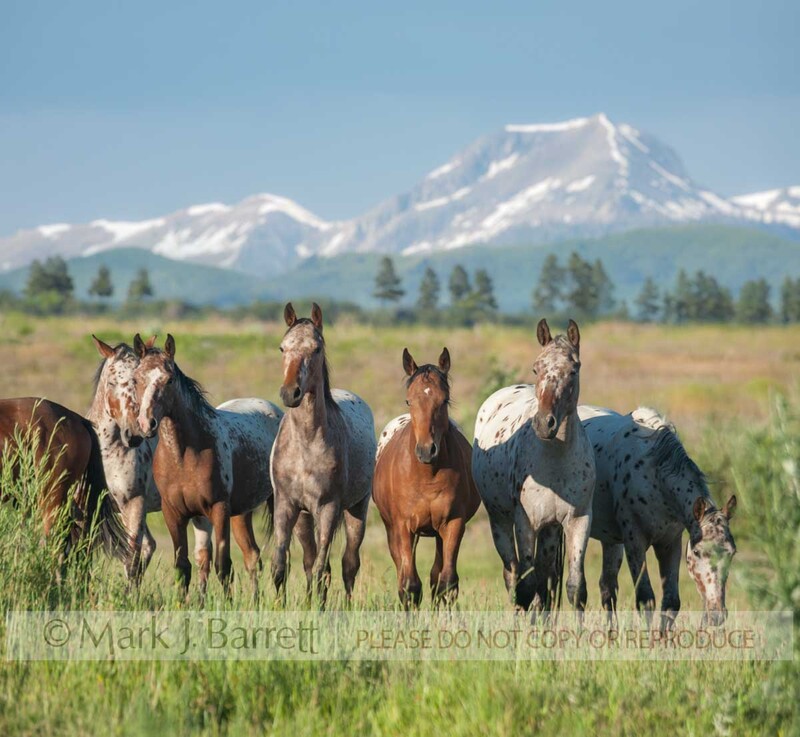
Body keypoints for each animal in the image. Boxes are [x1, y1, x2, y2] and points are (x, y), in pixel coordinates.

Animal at [132, 333, 283, 596]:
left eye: (169, 379)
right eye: (136, 378)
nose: (146, 423)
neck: (184, 458)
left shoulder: (218, 509)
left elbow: (223, 566)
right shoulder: (174, 514)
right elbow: (183, 567)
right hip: (241, 513)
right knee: (252, 556)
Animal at [270, 302, 376, 604]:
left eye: (316, 348)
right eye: (282, 348)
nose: (290, 393)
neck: (306, 445)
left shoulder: (328, 508)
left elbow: (321, 569)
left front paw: (316, 607)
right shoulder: (287, 505)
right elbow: (281, 566)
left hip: (356, 509)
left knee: (348, 564)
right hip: (305, 518)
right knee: (311, 560)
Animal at [373, 347, 480, 606]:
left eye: (444, 400)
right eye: (409, 400)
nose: (426, 450)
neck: (427, 476)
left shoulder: (453, 524)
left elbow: (446, 583)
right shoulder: (403, 527)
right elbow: (410, 585)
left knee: (436, 575)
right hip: (393, 530)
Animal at [472, 319, 594, 612]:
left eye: (573, 370)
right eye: (536, 368)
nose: (544, 424)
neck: (554, 465)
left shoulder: (579, 520)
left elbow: (575, 589)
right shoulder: (525, 522)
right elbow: (525, 587)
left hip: (549, 531)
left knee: (545, 581)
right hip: (500, 521)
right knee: (513, 576)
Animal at [579, 405, 737, 627]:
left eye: (732, 552)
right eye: (697, 552)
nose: (717, 615)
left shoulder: (670, 543)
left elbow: (671, 603)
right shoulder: (635, 541)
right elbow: (646, 600)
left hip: (610, 540)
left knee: (607, 587)